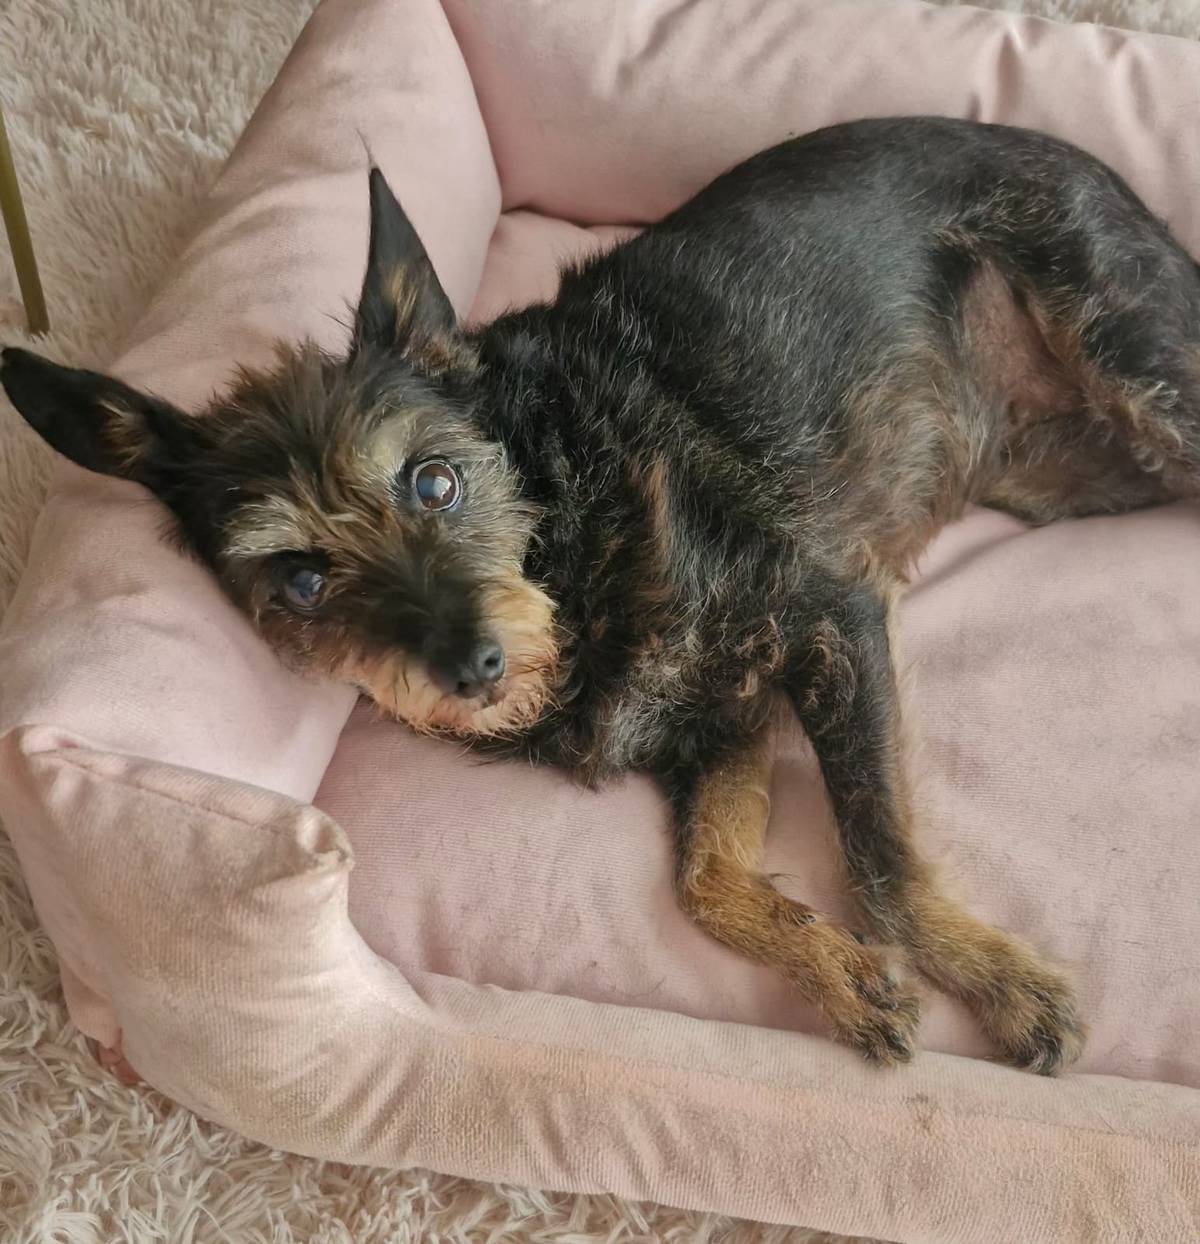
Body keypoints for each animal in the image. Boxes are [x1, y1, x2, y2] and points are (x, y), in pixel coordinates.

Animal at [7, 117, 1200, 1072]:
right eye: (300, 579)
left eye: (433, 479)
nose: (472, 667)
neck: (564, 505)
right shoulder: (721, 717)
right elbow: (704, 880)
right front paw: (840, 974)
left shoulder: (831, 615)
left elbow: (878, 855)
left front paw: (995, 982)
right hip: (1073, 471)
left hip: (1139, 364)